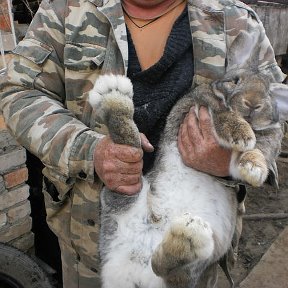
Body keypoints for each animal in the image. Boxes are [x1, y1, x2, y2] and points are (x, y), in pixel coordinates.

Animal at [89, 70, 282, 288]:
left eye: (269, 90)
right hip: (122, 197)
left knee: (168, 271)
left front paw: (253, 169)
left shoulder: (267, 139)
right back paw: (113, 95)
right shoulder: (195, 104)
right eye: (235, 81)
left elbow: (260, 151)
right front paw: (242, 135)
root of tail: (134, 271)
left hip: (199, 260)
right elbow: (220, 110)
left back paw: (188, 237)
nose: (253, 103)